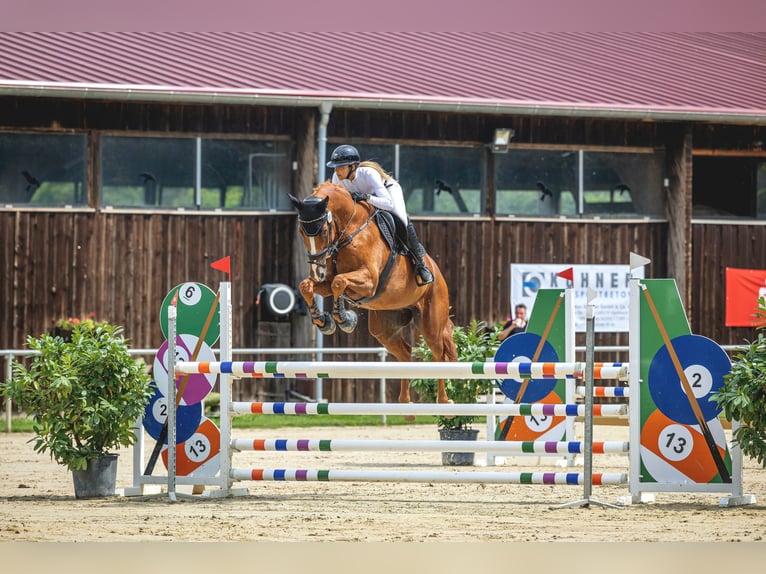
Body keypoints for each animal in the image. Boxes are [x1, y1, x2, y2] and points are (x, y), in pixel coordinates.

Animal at [288, 183, 456, 404]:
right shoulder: (325, 282)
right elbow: (308, 286)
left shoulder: (369, 281)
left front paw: (344, 319)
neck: (350, 230)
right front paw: (324, 321)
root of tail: (438, 274)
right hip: (385, 328)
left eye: (324, 230)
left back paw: (443, 401)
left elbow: (338, 282)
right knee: (405, 353)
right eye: (301, 231)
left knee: (439, 354)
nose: (317, 271)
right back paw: (405, 402)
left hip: (431, 323)